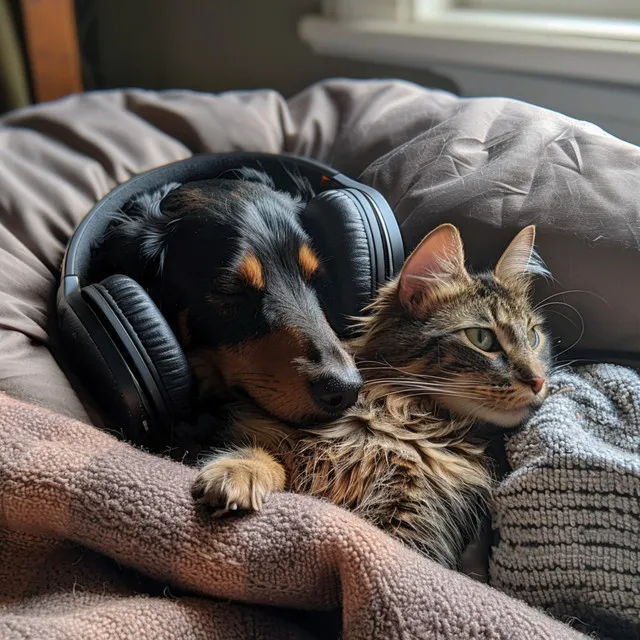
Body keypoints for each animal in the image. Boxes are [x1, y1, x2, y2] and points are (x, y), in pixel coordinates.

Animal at [189, 222, 552, 568]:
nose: (539, 380)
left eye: (534, 337)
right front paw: (239, 472)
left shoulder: (412, 521)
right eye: (481, 339)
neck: (395, 415)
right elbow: (263, 452)